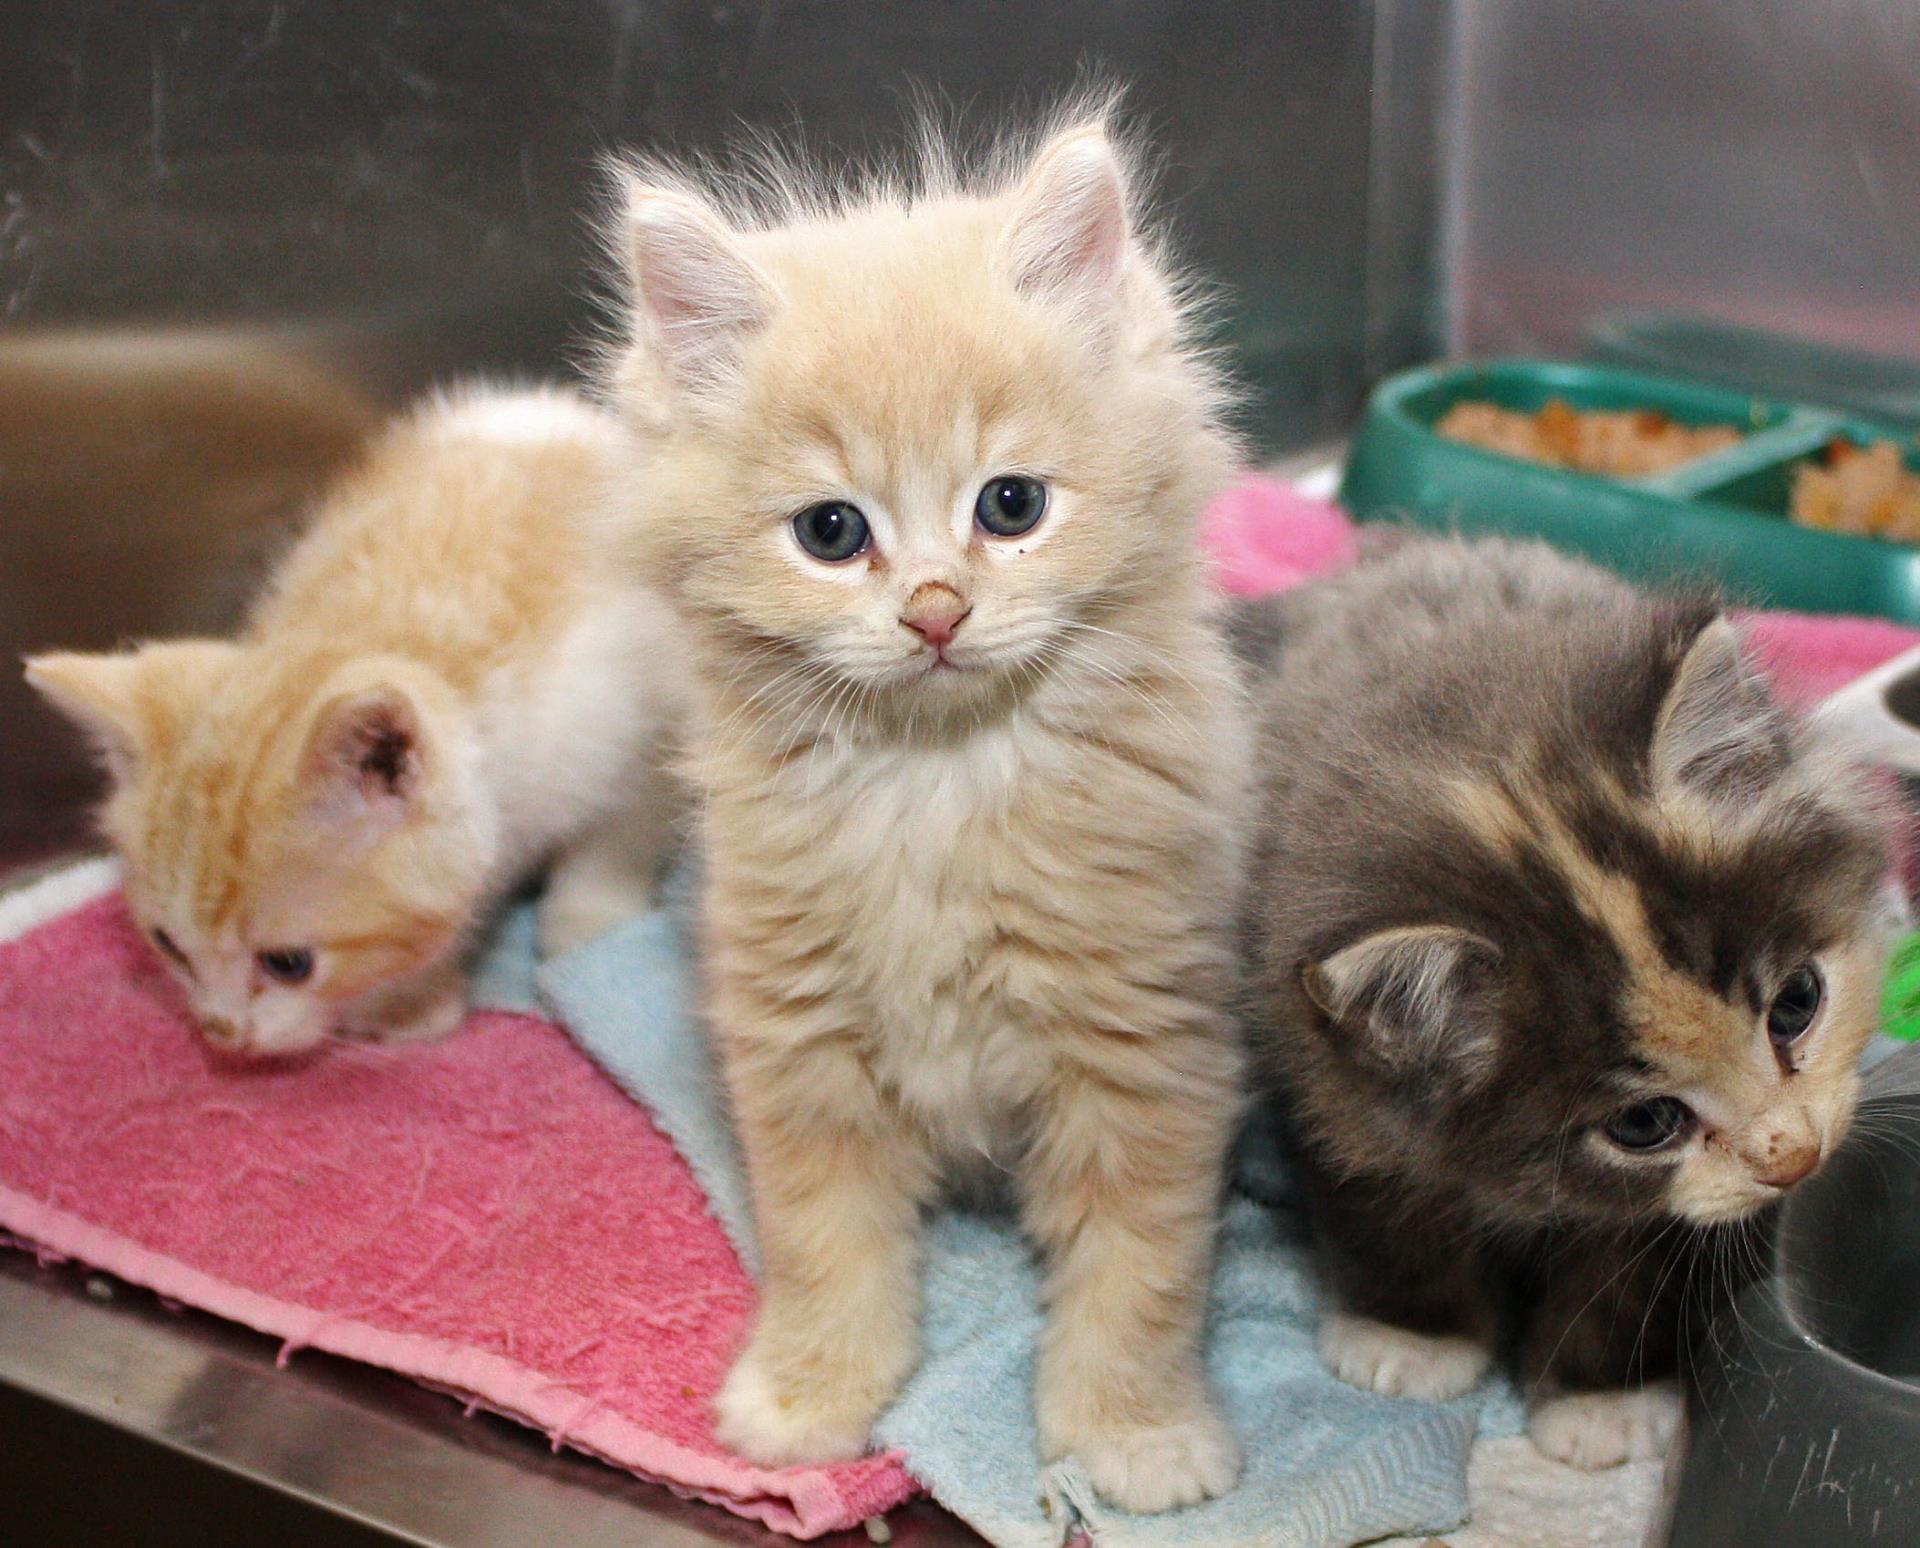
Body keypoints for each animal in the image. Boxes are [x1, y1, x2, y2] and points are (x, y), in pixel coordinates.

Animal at [26, 387, 683, 1060]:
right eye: (168, 946)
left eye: (290, 964)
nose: (223, 1035)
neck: (387, 633)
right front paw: (413, 993)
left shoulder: (648, 719)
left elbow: (621, 833)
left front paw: (586, 924)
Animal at [606, 120, 1251, 1513]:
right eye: (831, 529)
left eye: (1011, 506)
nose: (937, 611)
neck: (936, 786)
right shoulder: (799, 1046)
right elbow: (825, 1249)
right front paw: (808, 1392)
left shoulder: (1143, 1051)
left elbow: (1142, 1271)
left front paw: (1136, 1434)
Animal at [1236, 537, 1896, 1475]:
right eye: (1644, 1122)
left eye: (1797, 1004)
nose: (1795, 1160)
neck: (1479, 763)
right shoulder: (1329, 1078)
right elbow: (1384, 1206)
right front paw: (1412, 1337)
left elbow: (1635, 1269)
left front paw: (1600, 1399)